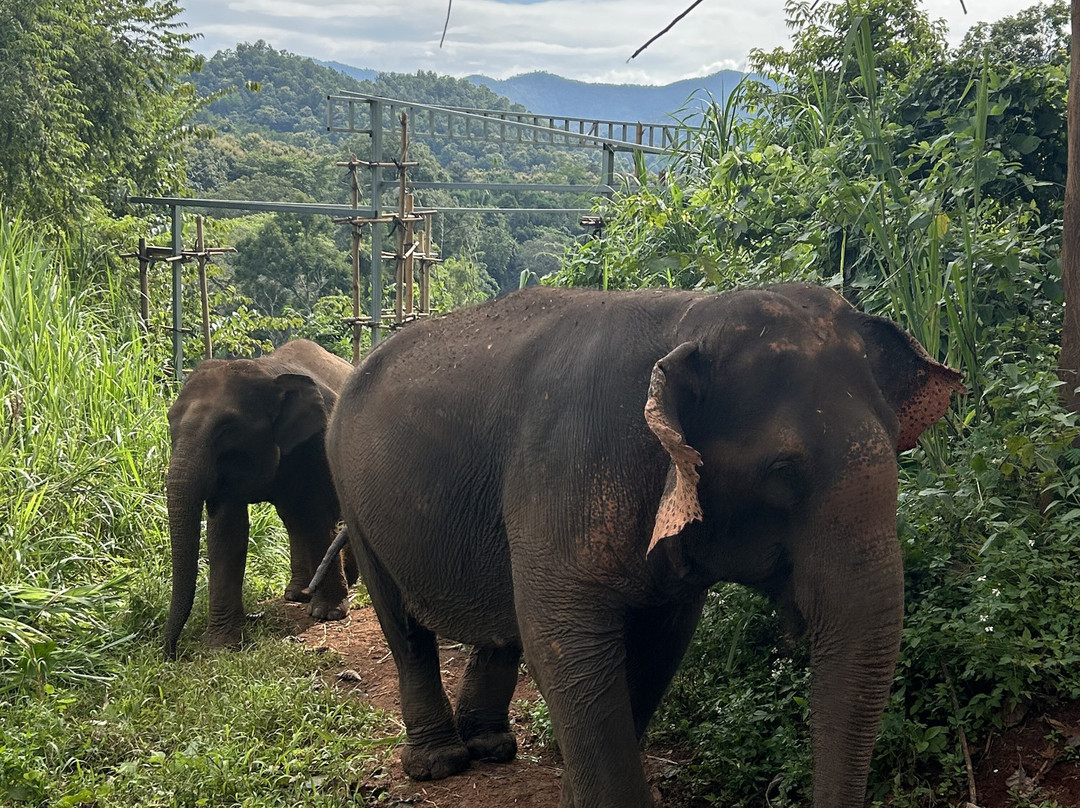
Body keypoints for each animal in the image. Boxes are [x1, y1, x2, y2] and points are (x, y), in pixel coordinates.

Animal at [163, 338, 357, 659]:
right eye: (169, 421)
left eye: (227, 428)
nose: (171, 654)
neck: (267, 372)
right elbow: (226, 531)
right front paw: (220, 645)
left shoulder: (317, 441)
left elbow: (318, 515)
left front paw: (328, 614)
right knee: (292, 518)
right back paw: (297, 593)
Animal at [324, 284, 964, 808]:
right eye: (782, 472)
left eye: (897, 446)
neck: (690, 319)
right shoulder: (565, 476)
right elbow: (565, 644)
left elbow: (658, 646)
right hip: (350, 491)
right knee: (403, 624)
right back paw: (439, 764)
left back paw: (492, 748)